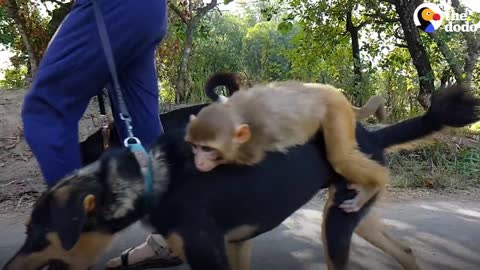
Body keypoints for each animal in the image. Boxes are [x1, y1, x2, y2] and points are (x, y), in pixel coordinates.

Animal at [184, 73, 390, 212]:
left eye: (207, 149)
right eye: (195, 146)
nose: (198, 162)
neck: (240, 114)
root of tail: (331, 90)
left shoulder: (251, 148)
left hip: (336, 109)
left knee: (341, 158)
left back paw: (374, 185)